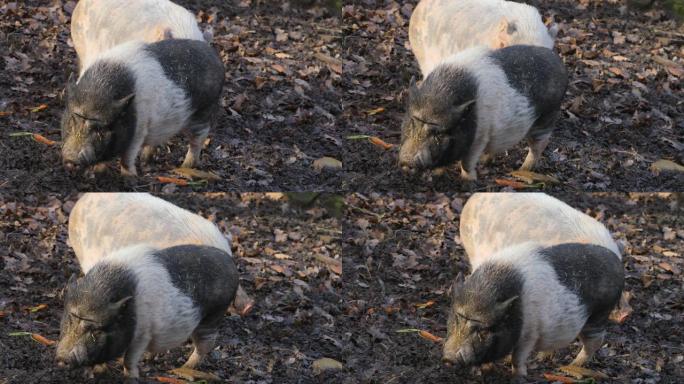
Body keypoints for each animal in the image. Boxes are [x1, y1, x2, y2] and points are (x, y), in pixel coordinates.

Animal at [54, 244, 239, 380]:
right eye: (69, 320)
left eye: (97, 330)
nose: (62, 357)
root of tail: (232, 265)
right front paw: (96, 372)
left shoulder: (142, 334)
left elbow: (129, 359)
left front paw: (131, 378)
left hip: (214, 315)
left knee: (205, 345)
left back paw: (183, 368)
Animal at [60, 38, 223, 175]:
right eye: (72, 121)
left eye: (100, 129)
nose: (71, 158)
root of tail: (216, 60)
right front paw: (98, 171)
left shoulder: (138, 130)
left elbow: (127, 157)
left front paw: (129, 178)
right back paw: (147, 164)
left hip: (204, 112)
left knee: (197, 141)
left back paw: (185, 167)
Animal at [396, 45, 568, 181]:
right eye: (412, 123)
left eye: (439, 133)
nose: (407, 160)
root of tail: (560, 64)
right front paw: (438, 173)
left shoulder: (480, 136)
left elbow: (467, 162)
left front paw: (469, 181)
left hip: (547, 117)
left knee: (538, 146)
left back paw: (522, 170)